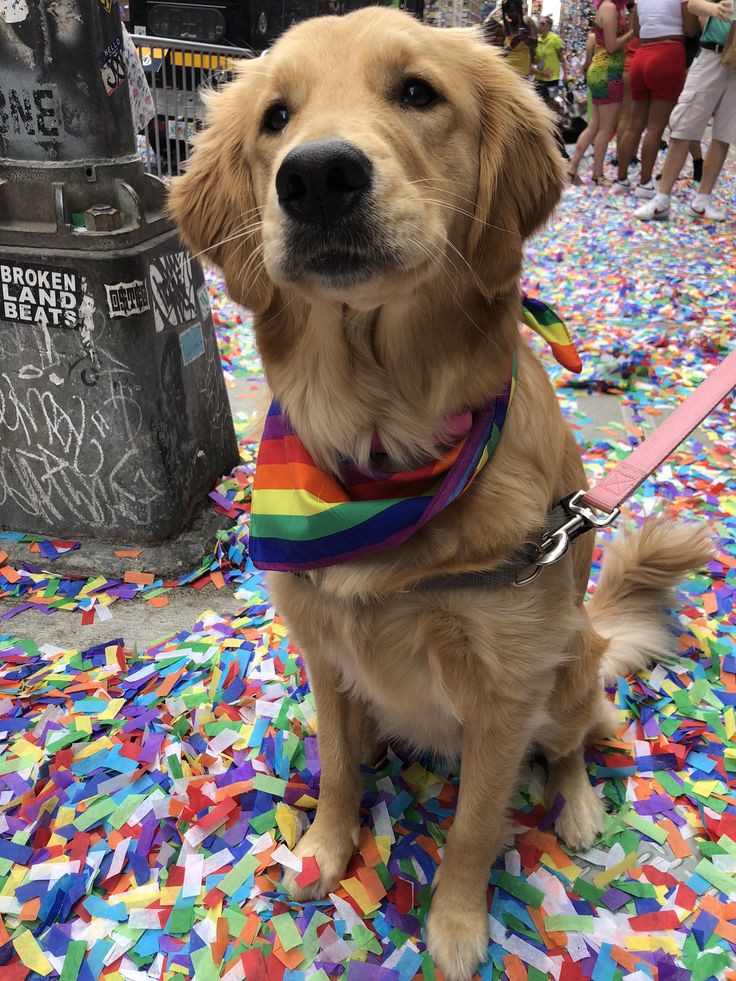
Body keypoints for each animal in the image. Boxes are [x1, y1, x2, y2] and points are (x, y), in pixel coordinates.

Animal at [168, 11, 712, 976]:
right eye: (276, 117)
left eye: (418, 93)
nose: (317, 175)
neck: (383, 448)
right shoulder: (325, 650)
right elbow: (339, 769)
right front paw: (327, 849)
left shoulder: (505, 689)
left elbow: (472, 827)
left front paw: (456, 926)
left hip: (568, 670)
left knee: (577, 742)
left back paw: (578, 806)